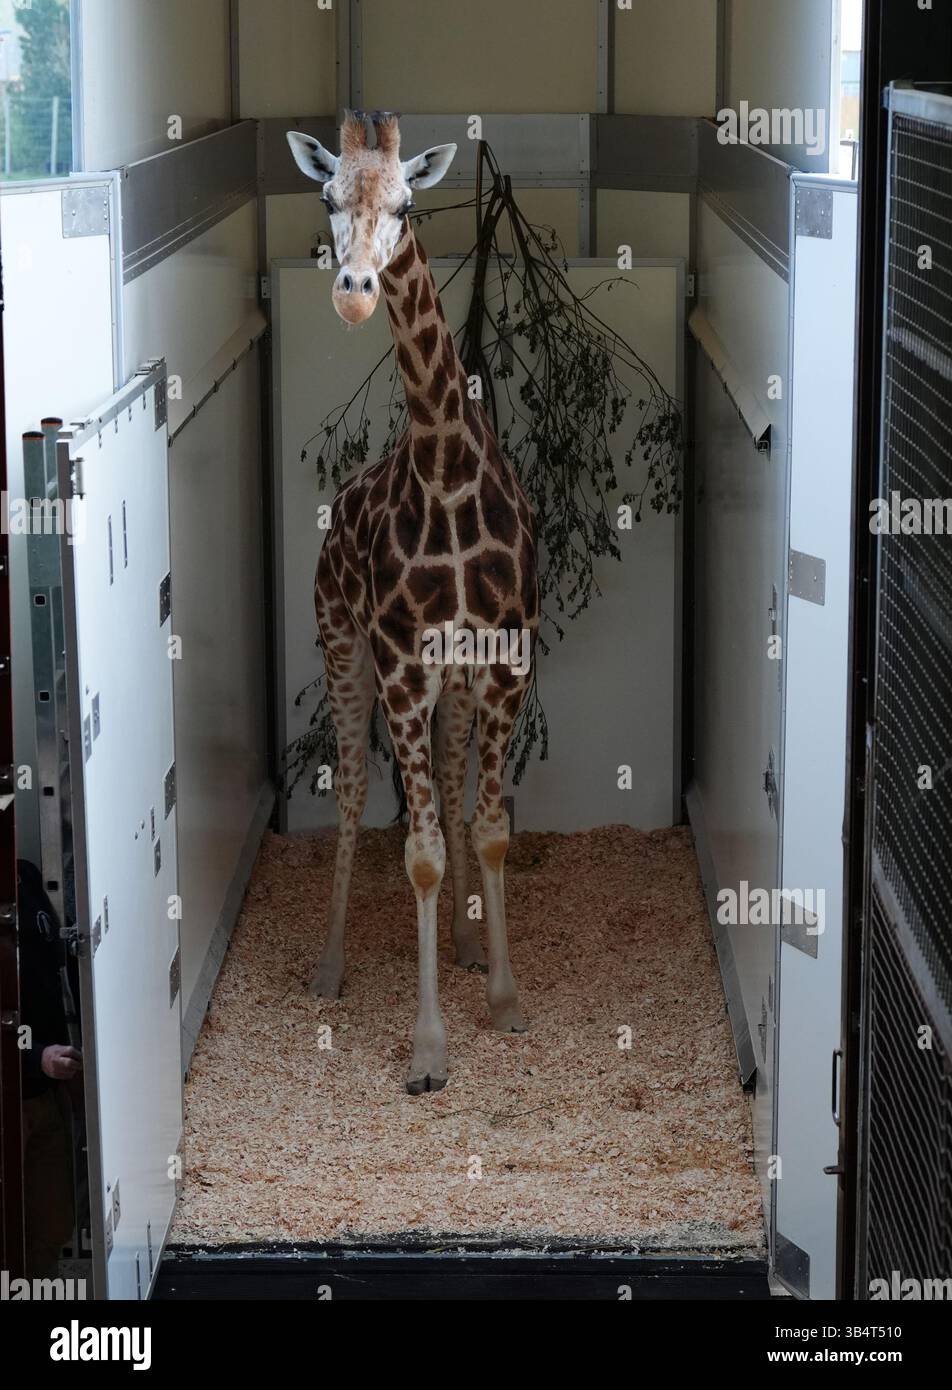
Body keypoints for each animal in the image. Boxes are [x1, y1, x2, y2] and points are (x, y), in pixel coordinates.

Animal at [287, 113, 539, 1094]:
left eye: (404, 204)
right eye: (327, 196)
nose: (356, 294)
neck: (444, 468)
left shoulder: (503, 665)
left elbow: (492, 828)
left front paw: (502, 997)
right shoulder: (398, 666)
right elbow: (421, 854)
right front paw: (430, 1049)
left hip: (454, 690)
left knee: (453, 774)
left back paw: (466, 948)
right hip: (341, 646)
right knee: (356, 794)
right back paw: (329, 966)